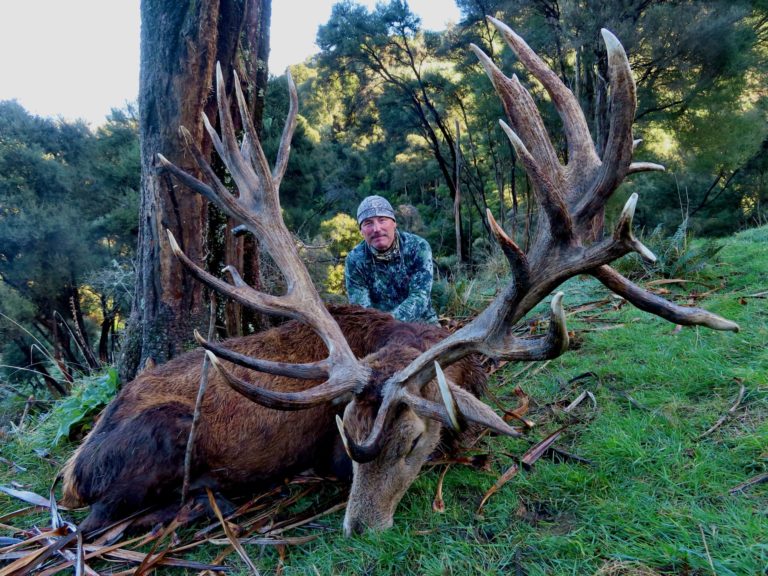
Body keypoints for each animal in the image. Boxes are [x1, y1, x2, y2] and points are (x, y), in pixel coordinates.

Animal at [61, 18, 738, 537]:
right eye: (345, 434)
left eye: (413, 442)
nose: (360, 528)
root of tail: (72, 472)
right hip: (161, 433)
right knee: (98, 522)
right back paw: (209, 499)